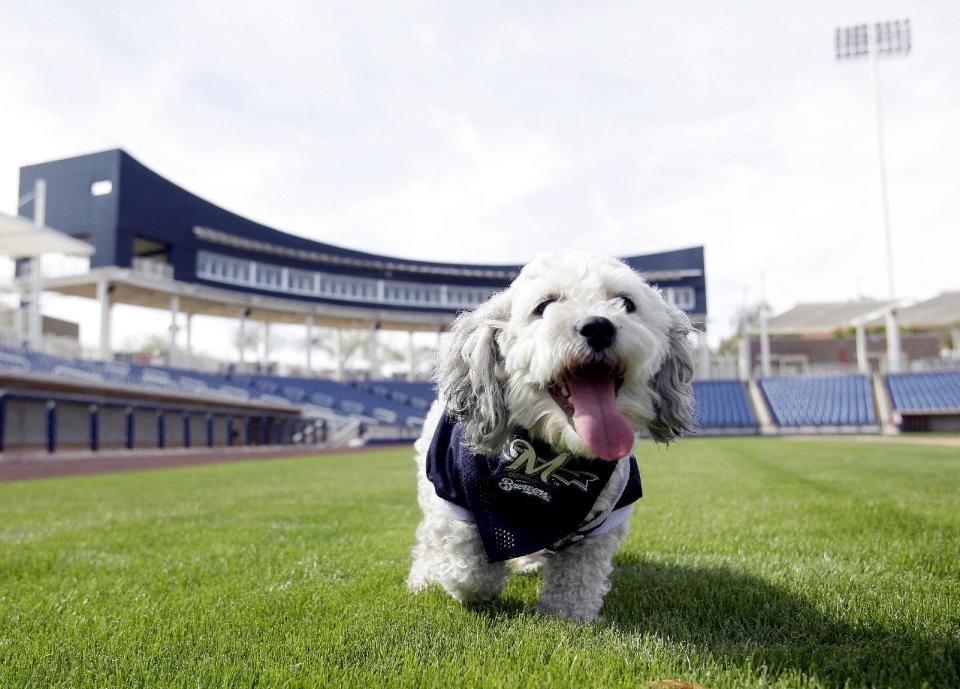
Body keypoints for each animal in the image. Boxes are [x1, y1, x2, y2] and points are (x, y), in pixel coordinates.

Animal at [408, 249, 692, 620]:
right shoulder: (453, 494)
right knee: (429, 539)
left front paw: (567, 614)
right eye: (544, 305)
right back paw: (424, 578)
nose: (598, 326)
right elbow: (469, 570)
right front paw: (476, 582)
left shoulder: (605, 517)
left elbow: (578, 576)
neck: (548, 458)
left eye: (626, 303)